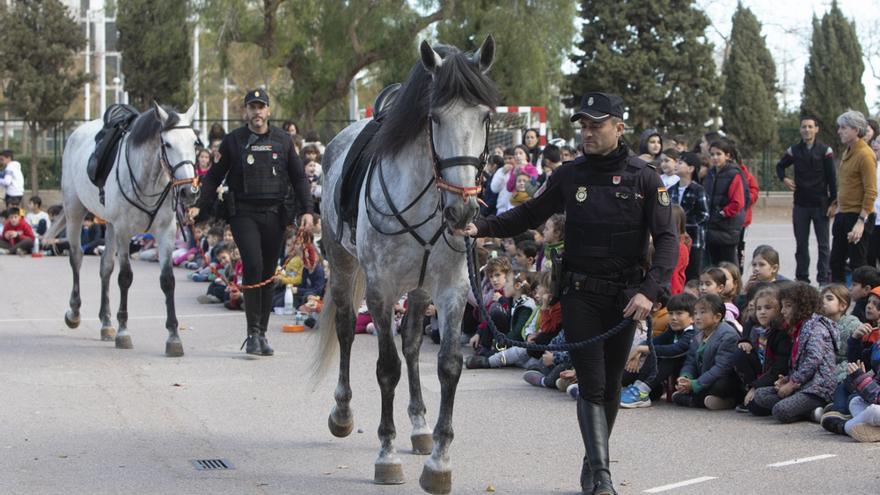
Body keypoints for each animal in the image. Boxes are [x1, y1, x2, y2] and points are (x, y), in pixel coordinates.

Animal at [47, 103, 201, 356]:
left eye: (195, 143)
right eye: (168, 144)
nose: (189, 191)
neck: (148, 180)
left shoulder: (165, 231)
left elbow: (167, 280)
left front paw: (173, 336)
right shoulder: (123, 230)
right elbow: (125, 277)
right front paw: (123, 331)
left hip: (108, 225)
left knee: (105, 267)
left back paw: (106, 322)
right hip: (75, 210)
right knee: (77, 258)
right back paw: (75, 313)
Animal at [191, 90, 314, 356]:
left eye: (261, 105)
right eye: (253, 105)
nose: (257, 111)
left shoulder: (290, 151)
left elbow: (298, 176)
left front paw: (308, 217)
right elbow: (214, 175)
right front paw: (254, 339)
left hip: (273, 238)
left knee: (267, 278)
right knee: (259, 274)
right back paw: (256, 337)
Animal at [312, 36, 498, 494]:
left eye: (485, 116)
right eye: (434, 118)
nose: (463, 210)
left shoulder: (451, 289)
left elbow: (447, 365)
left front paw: (438, 462)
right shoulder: (381, 289)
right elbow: (387, 368)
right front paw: (387, 454)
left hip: (418, 288)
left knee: (413, 341)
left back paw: (418, 426)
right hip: (342, 262)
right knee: (346, 327)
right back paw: (343, 413)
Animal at [458, 92, 676, 492]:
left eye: (595, 122)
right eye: (584, 123)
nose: (586, 134)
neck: (608, 165)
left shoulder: (657, 188)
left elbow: (665, 233)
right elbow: (530, 210)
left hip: (618, 334)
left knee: (609, 391)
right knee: (599, 392)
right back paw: (592, 472)